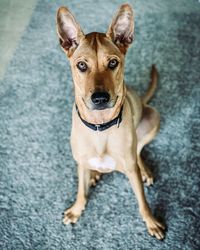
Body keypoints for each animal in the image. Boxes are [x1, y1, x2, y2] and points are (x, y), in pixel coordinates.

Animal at [56, 2, 166, 239]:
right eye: (81, 65)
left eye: (113, 62)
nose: (100, 98)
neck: (100, 127)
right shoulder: (80, 163)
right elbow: (81, 191)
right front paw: (76, 210)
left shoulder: (131, 171)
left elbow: (142, 201)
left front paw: (151, 222)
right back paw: (95, 173)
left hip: (153, 117)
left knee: (139, 151)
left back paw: (144, 170)